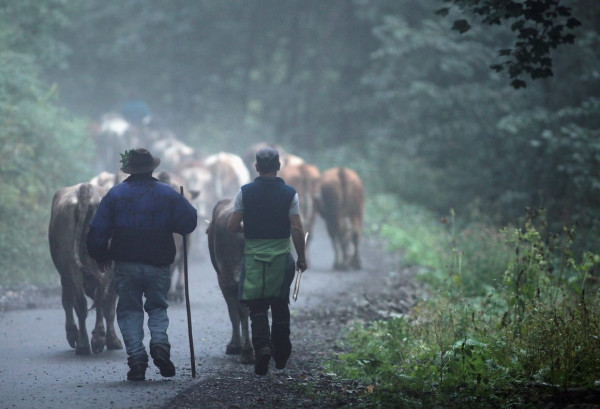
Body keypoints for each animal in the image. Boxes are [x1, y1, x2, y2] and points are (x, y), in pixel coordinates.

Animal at [49, 182, 124, 354]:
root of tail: (85, 188)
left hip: (71, 264)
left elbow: (67, 301)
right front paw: (112, 340)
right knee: (98, 297)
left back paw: (83, 343)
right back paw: (95, 340)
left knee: (80, 301)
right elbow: (109, 306)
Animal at [206, 198, 253, 364]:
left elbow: (233, 311)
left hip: (229, 274)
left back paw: (247, 351)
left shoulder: (224, 278)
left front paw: (234, 345)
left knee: (241, 309)